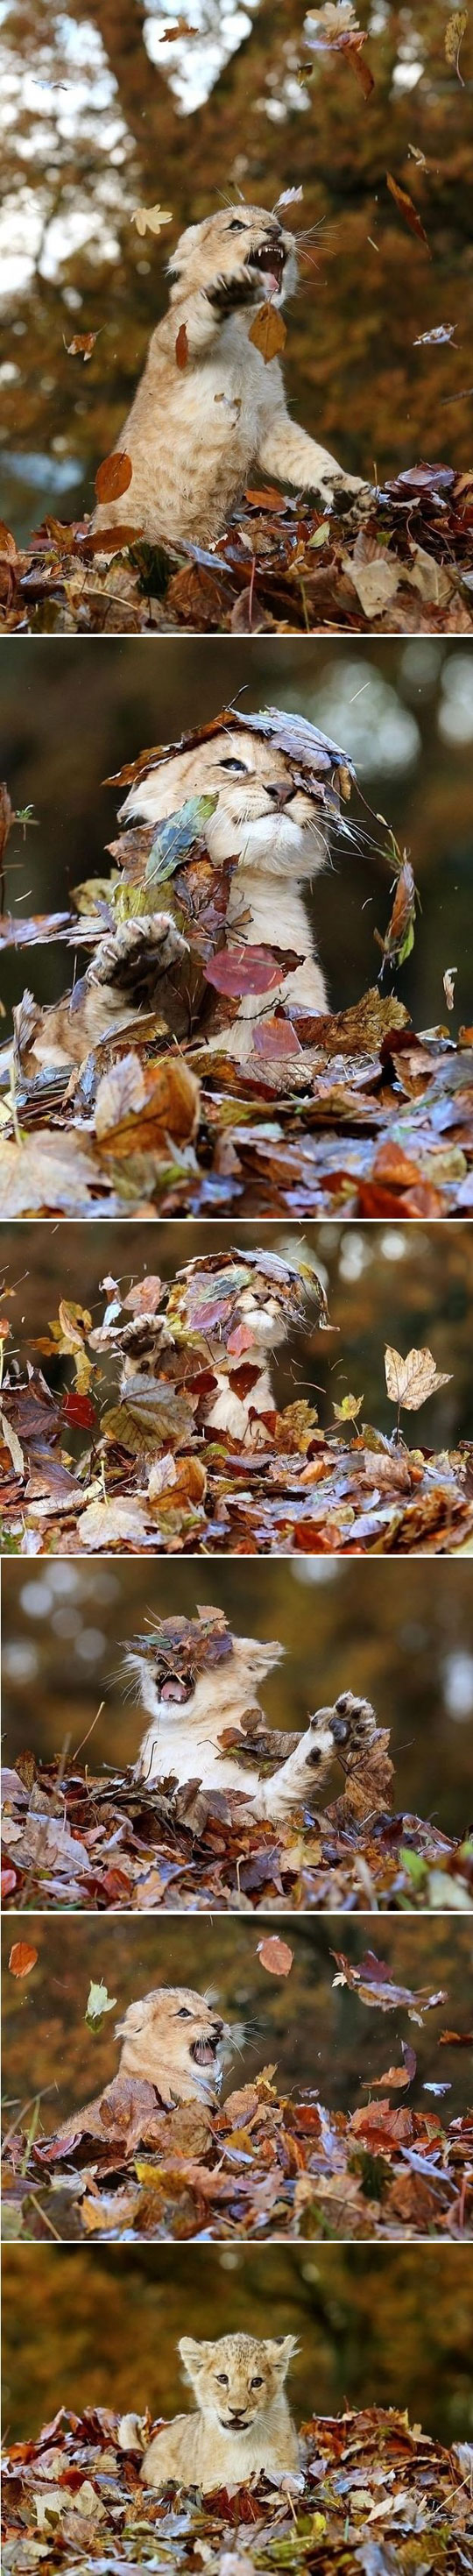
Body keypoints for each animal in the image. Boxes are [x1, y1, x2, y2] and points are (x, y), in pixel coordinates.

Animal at [92, 203, 365, 547]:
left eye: (277, 222)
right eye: (236, 226)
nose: (275, 231)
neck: (249, 326)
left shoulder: (269, 421)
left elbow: (310, 456)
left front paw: (347, 491)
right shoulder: (172, 342)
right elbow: (194, 314)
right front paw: (229, 289)